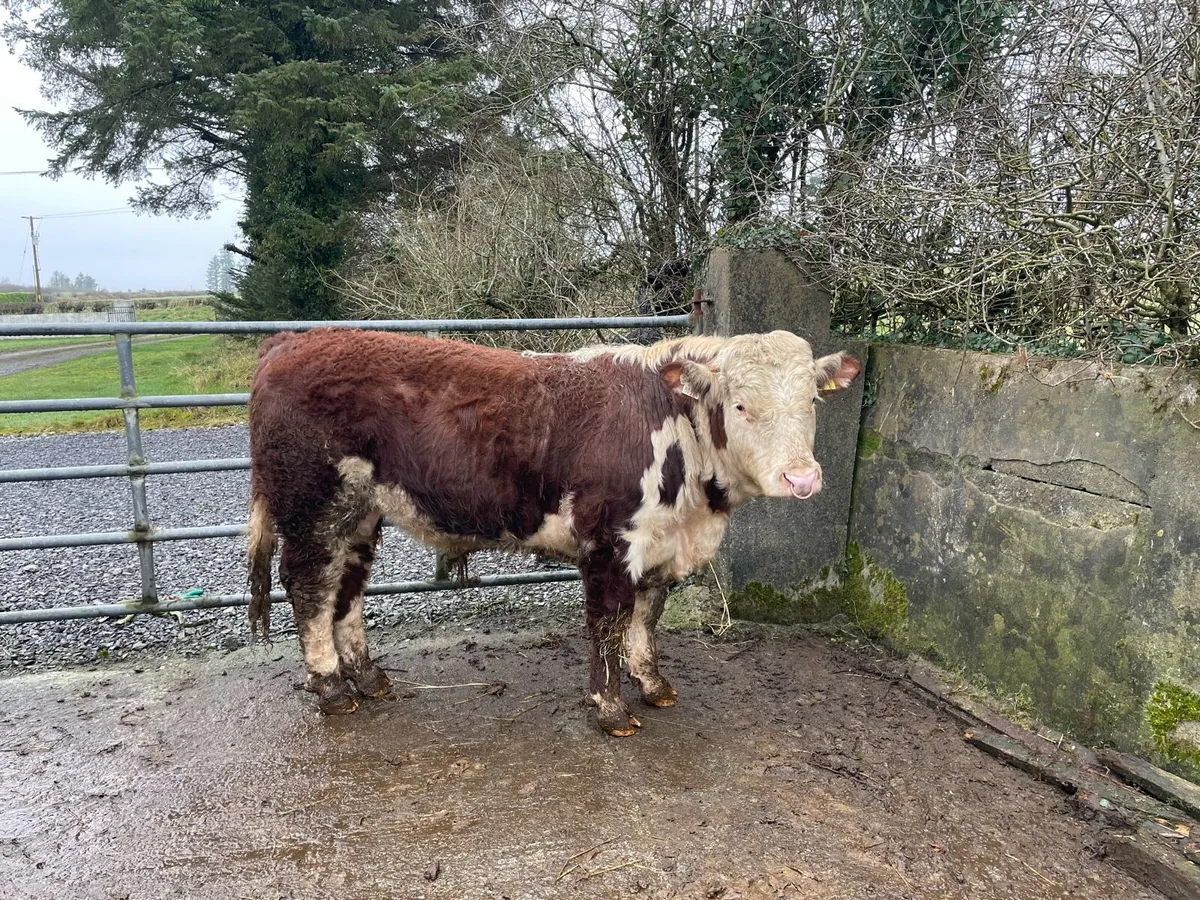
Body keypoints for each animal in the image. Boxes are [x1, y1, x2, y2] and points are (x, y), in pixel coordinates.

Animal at [245, 328, 861, 736]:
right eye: (739, 405)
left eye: (811, 400)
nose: (801, 477)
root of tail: (292, 339)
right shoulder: (608, 541)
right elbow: (609, 623)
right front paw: (611, 708)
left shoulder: (659, 545)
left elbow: (647, 616)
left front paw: (653, 684)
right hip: (313, 508)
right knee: (309, 588)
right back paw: (330, 689)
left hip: (361, 514)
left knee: (346, 590)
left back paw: (368, 678)